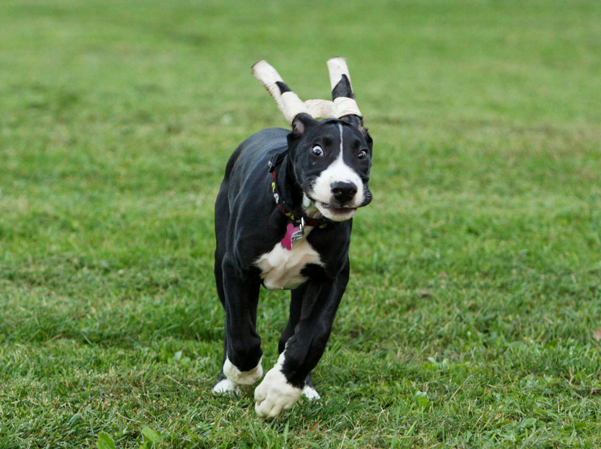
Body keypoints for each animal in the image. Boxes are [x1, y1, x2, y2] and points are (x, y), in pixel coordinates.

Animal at [210, 57, 370, 418]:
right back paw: (229, 379)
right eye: (317, 150)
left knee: (294, 330)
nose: (344, 189)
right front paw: (243, 373)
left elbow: (312, 334)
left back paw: (301, 383)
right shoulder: (235, 269)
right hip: (219, 256)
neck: (299, 220)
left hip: (303, 286)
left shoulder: (332, 276)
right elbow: (240, 331)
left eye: (362, 154)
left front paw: (280, 390)